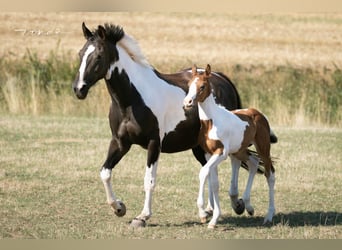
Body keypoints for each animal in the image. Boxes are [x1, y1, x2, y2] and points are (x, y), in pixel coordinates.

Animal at [73, 22, 246, 228]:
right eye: (80, 53)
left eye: (99, 55)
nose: (79, 89)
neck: (132, 99)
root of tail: (222, 79)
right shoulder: (120, 142)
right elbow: (105, 173)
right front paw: (119, 208)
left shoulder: (154, 143)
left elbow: (149, 180)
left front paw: (142, 217)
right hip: (200, 147)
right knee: (211, 171)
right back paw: (208, 211)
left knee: (235, 162)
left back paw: (237, 203)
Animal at [184, 65, 276, 229]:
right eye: (189, 85)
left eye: (202, 86)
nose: (187, 102)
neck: (211, 121)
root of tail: (258, 113)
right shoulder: (209, 154)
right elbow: (214, 183)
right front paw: (213, 219)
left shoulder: (221, 153)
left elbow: (203, 172)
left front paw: (203, 213)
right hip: (239, 150)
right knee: (253, 163)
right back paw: (248, 206)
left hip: (263, 148)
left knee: (270, 174)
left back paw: (269, 216)